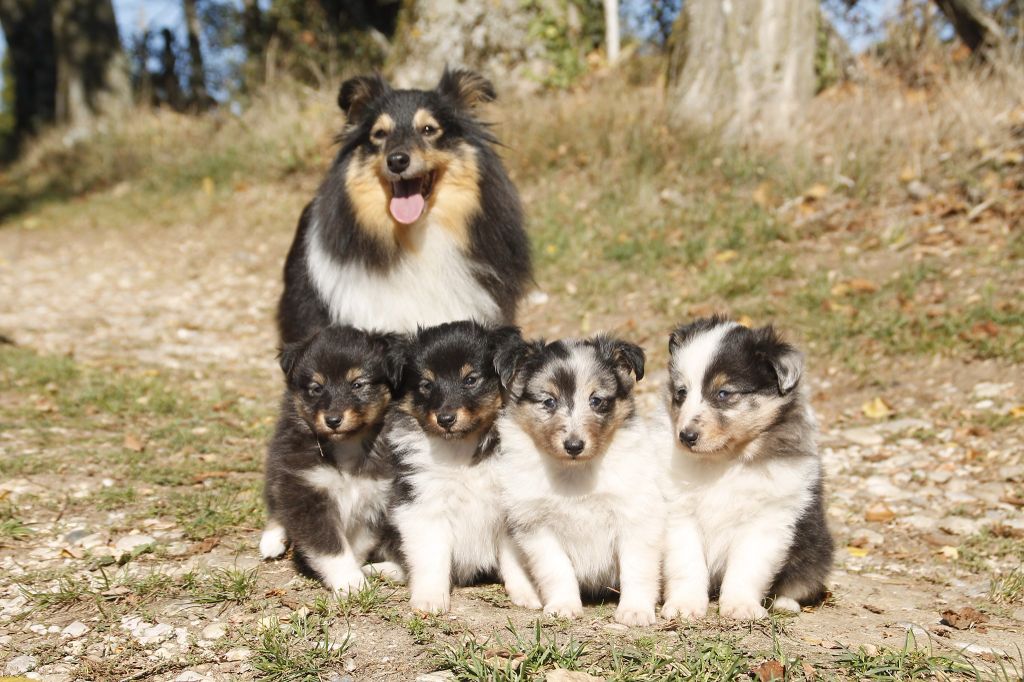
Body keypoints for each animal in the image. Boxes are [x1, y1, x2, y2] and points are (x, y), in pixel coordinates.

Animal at [262, 321, 401, 593]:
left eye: (357, 384)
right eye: (316, 388)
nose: (333, 420)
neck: (347, 444)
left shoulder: (376, 498)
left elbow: (358, 542)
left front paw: (355, 575)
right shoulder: (306, 489)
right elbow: (331, 547)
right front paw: (350, 583)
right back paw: (271, 540)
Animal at [382, 319, 544, 610]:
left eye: (470, 379)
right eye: (426, 384)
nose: (445, 419)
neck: (461, 447)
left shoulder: (509, 507)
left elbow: (515, 560)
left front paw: (526, 594)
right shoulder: (422, 502)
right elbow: (430, 555)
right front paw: (429, 599)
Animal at [493, 331, 663, 622]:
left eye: (596, 400)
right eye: (549, 401)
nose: (574, 446)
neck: (575, 472)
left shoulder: (635, 516)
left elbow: (636, 568)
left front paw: (635, 611)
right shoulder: (535, 525)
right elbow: (556, 569)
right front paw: (564, 606)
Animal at [659, 315, 835, 618]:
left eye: (723, 393)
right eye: (681, 392)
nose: (686, 437)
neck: (725, 461)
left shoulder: (767, 520)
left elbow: (747, 568)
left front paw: (741, 606)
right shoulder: (680, 512)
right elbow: (686, 564)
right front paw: (684, 605)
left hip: (815, 550)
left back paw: (786, 604)